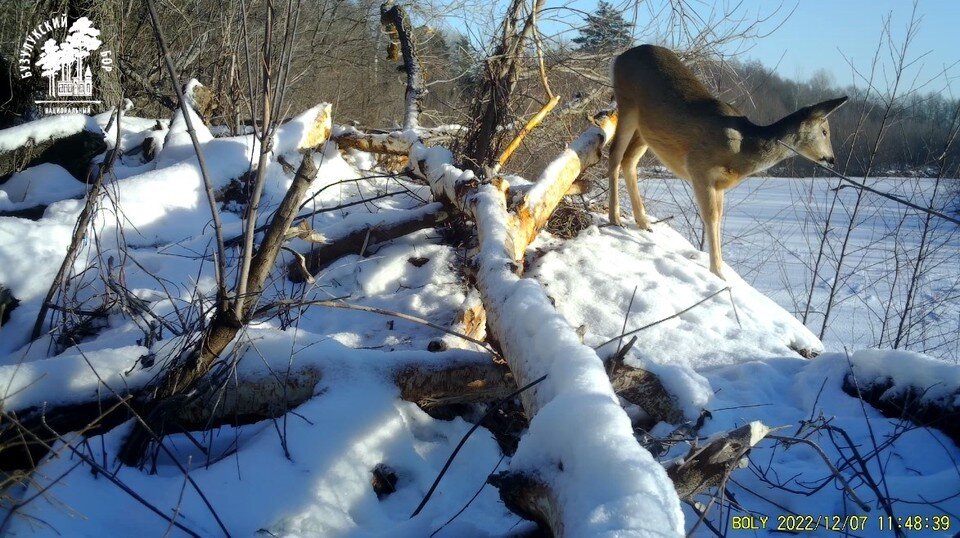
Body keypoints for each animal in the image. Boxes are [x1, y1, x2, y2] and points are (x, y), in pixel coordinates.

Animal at [608, 44, 848, 278]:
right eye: (825, 131)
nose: (832, 159)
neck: (743, 148)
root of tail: (620, 57)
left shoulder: (719, 184)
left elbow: (719, 218)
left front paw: (720, 269)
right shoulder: (699, 168)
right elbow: (711, 217)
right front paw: (717, 273)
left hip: (648, 130)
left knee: (629, 160)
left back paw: (643, 222)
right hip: (627, 105)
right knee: (614, 154)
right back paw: (615, 217)